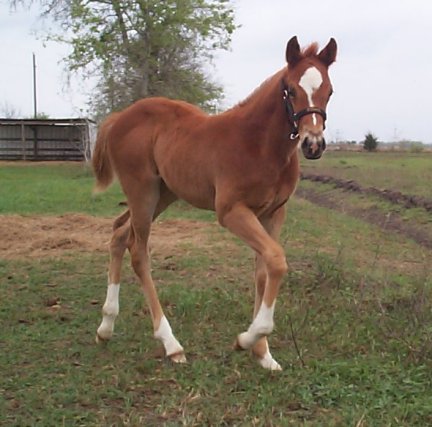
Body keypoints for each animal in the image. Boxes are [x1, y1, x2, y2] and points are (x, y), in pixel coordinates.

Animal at [93, 36, 338, 372]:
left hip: (164, 193)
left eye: (330, 91)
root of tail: (120, 117)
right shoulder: (231, 211)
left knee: (118, 233)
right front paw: (245, 340)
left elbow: (264, 271)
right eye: (290, 89)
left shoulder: (273, 213)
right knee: (138, 252)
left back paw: (106, 327)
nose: (313, 144)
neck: (259, 144)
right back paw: (171, 343)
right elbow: (276, 260)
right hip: (142, 190)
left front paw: (263, 353)